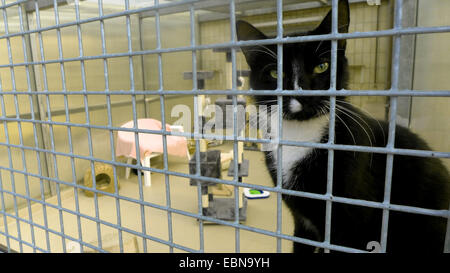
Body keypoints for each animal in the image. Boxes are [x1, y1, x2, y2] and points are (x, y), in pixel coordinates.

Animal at [237, 0, 448, 253]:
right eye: (275, 73)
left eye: (322, 66)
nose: (303, 93)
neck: (300, 136)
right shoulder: (303, 223)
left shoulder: (348, 227)